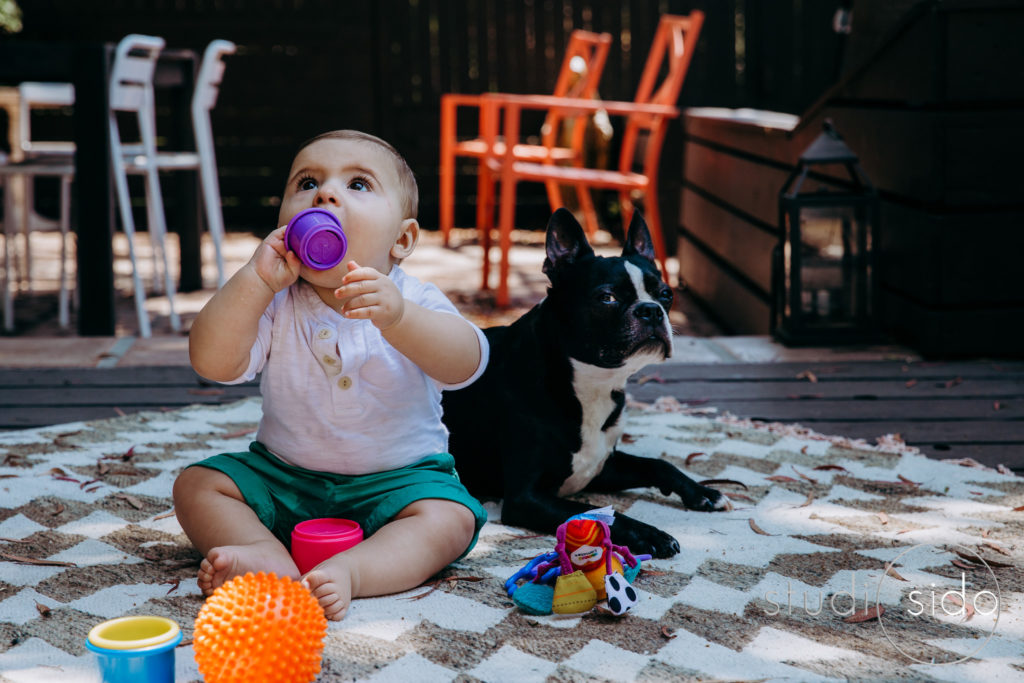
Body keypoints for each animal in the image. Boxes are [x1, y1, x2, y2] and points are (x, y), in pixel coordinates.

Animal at [444, 205, 733, 557]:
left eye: (666, 294)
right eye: (607, 297)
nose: (651, 309)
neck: (590, 384)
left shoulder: (599, 466)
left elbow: (658, 464)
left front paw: (703, 492)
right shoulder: (525, 498)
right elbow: (600, 514)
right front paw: (649, 534)